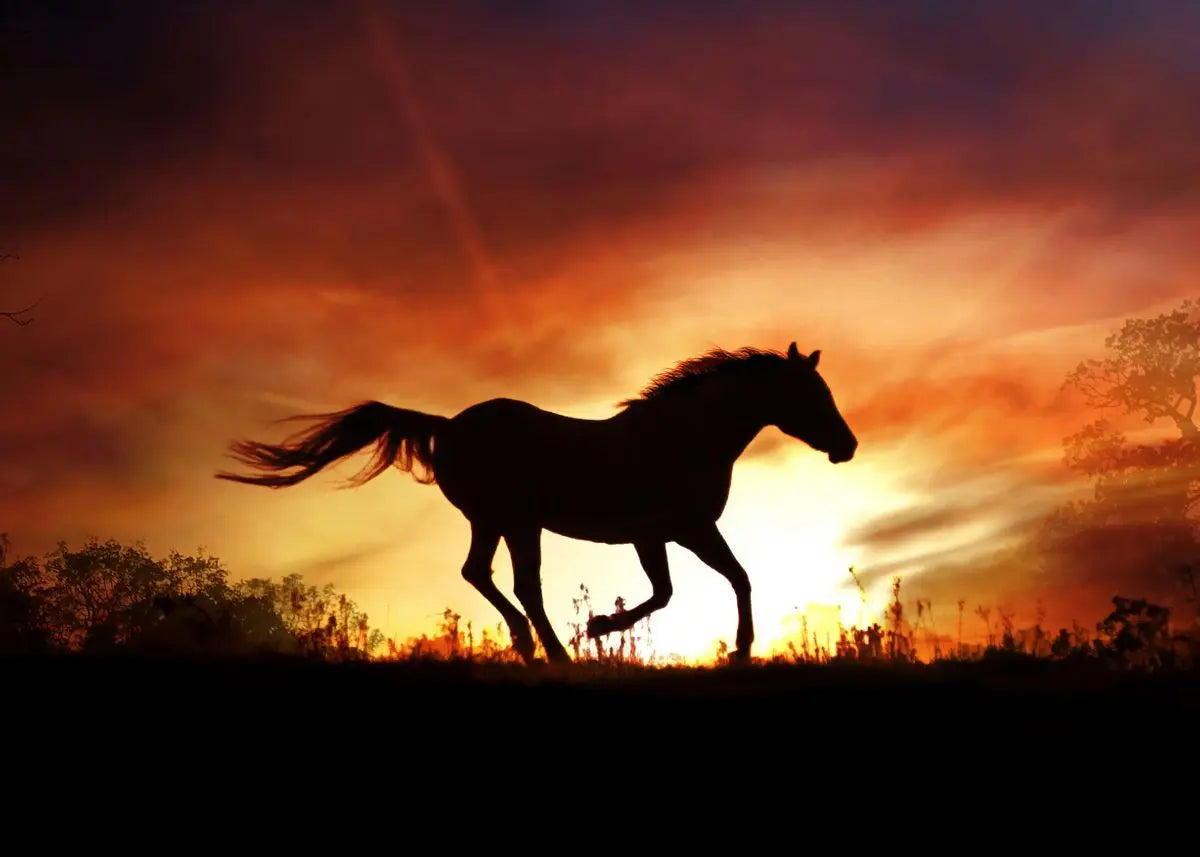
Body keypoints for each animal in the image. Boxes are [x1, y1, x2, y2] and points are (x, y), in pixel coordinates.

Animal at [215, 342, 858, 664]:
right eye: (813, 394)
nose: (847, 446)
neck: (681, 437)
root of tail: (447, 426)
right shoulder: (677, 530)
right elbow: (700, 586)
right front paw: (602, 628)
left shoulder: (664, 533)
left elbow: (700, 585)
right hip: (517, 521)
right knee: (522, 584)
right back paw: (553, 652)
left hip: (494, 520)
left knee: (480, 573)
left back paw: (529, 646)